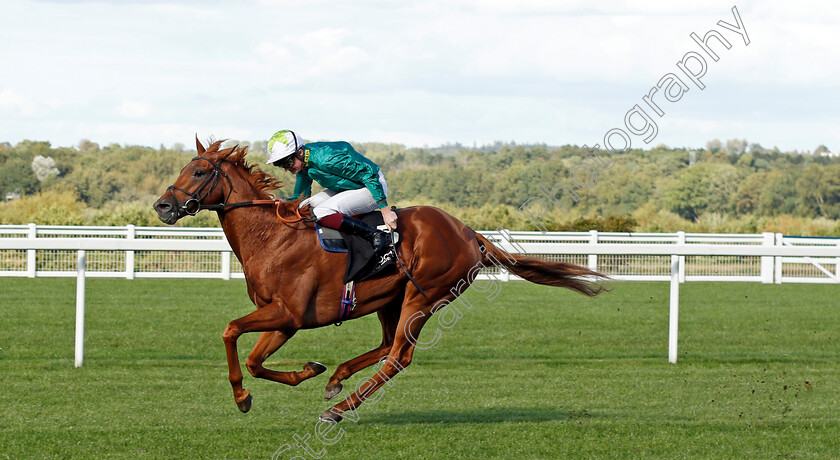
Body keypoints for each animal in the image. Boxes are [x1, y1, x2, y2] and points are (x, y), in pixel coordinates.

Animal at [154, 138, 608, 422]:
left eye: (199, 172)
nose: (162, 206)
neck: (273, 237)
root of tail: (468, 234)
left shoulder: (288, 312)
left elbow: (231, 332)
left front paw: (242, 396)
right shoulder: (284, 319)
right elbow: (254, 360)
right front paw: (307, 371)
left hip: (425, 297)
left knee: (399, 356)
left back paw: (339, 408)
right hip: (391, 299)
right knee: (387, 344)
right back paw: (336, 379)